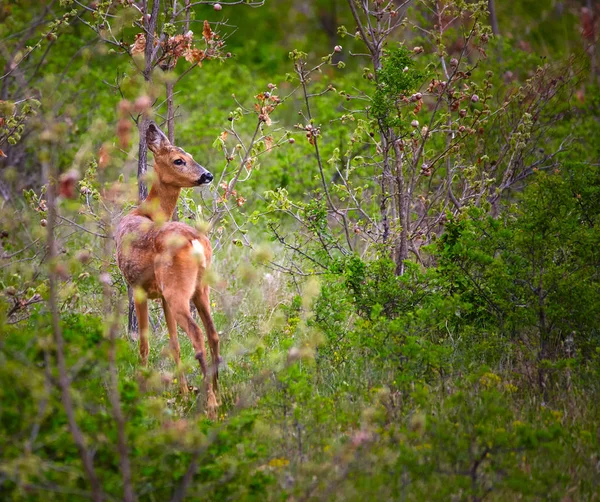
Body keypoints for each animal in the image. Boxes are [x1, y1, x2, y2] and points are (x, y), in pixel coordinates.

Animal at [115, 123, 220, 418]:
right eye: (179, 160)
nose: (207, 175)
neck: (145, 212)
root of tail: (195, 241)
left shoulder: (138, 287)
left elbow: (144, 343)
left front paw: (139, 387)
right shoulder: (160, 295)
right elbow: (173, 344)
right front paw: (182, 392)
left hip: (177, 290)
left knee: (197, 334)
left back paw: (210, 404)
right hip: (199, 288)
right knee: (213, 333)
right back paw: (219, 394)